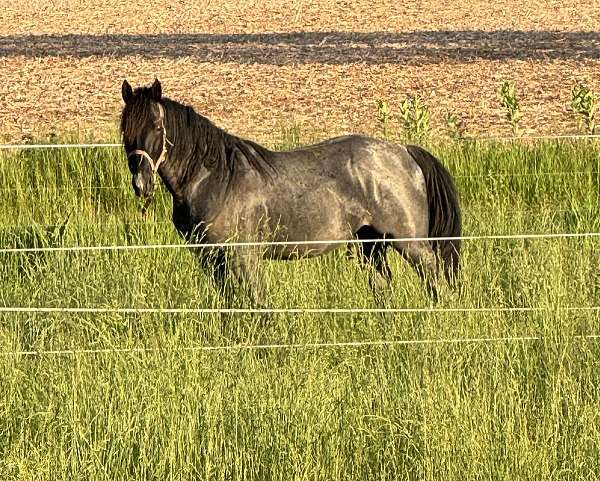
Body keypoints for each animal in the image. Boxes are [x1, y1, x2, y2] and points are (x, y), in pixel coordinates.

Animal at [119, 79, 462, 304]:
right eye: (125, 129)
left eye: (158, 127)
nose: (141, 184)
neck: (215, 179)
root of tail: (403, 151)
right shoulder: (210, 258)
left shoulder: (243, 256)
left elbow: (256, 302)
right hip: (370, 245)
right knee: (383, 288)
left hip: (409, 243)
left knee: (434, 280)